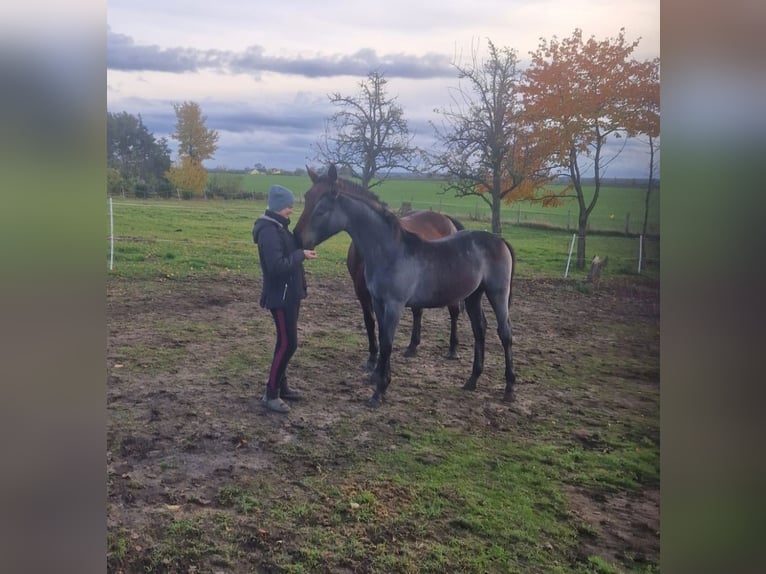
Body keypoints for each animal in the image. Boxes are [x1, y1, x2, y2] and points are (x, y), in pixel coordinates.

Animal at [296, 166, 464, 374]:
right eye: (307, 197)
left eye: (322, 208)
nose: (297, 238)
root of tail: (445, 219)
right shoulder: (362, 293)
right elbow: (370, 323)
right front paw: (372, 359)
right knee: (418, 312)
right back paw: (412, 347)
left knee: (454, 312)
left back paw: (452, 349)